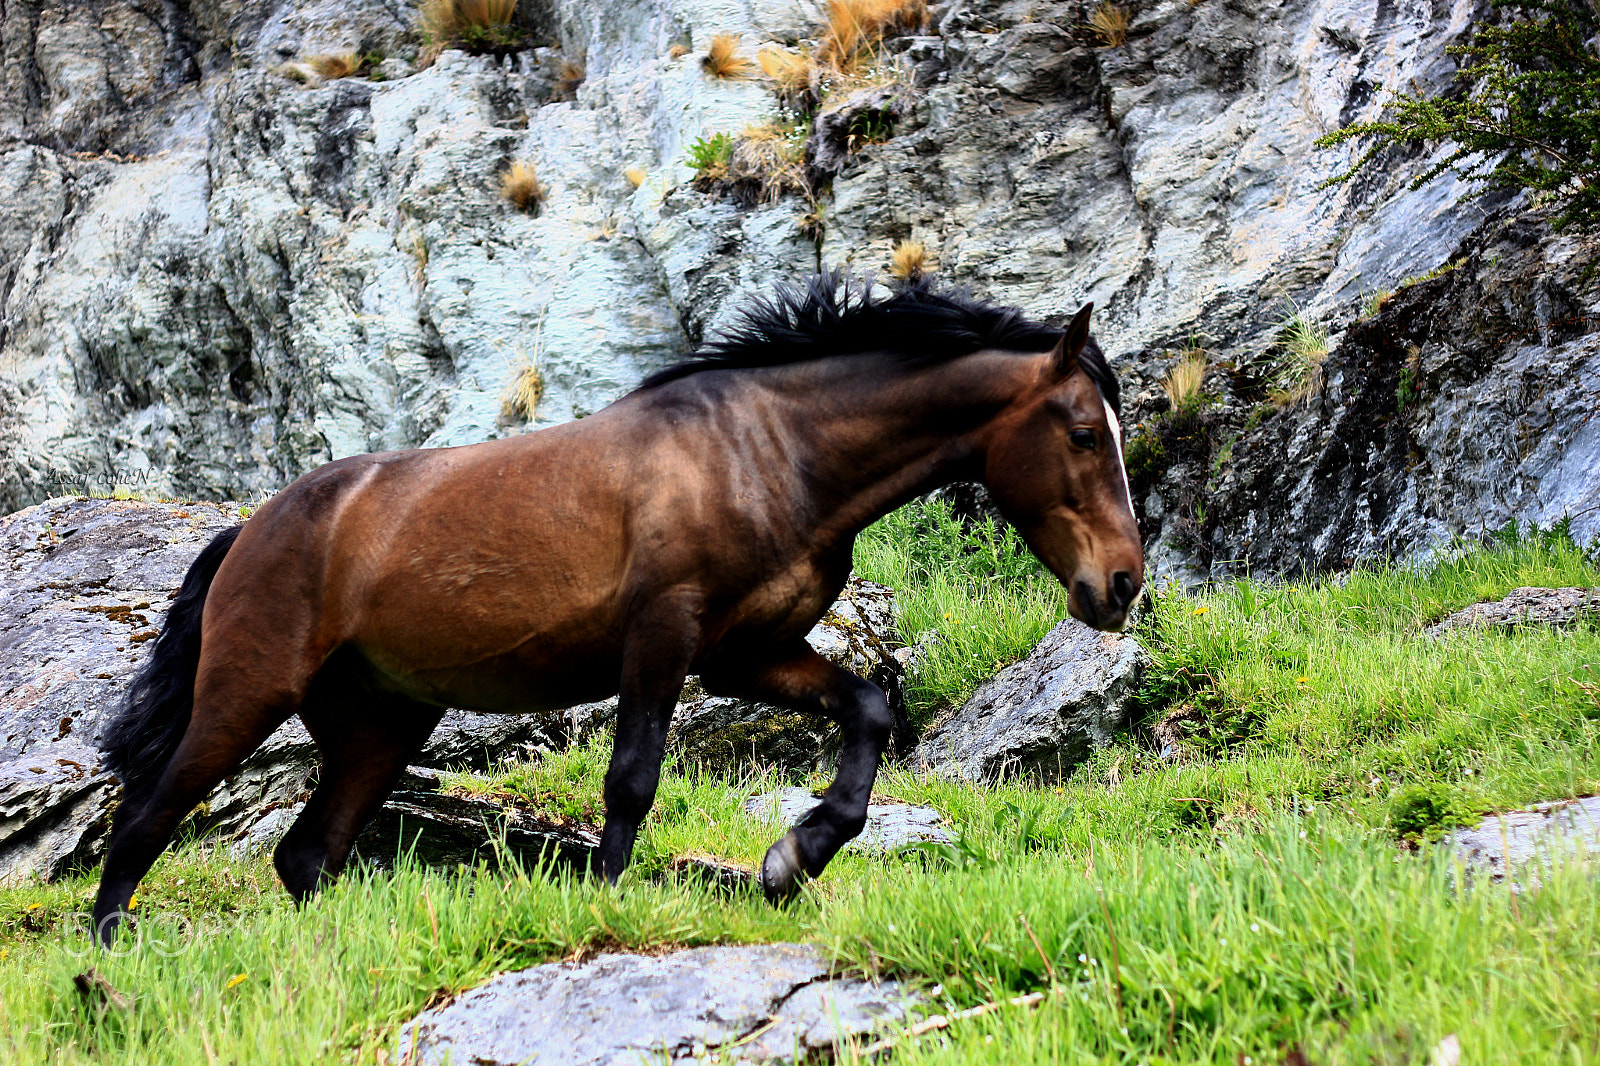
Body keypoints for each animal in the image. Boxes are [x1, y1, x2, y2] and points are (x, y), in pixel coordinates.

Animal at [91, 272, 1144, 945]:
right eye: (1084, 433)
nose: (1124, 584)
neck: (772, 451)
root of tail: (255, 527)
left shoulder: (748, 652)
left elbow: (869, 711)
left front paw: (792, 859)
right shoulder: (663, 636)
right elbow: (632, 779)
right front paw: (605, 903)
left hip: (379, 725)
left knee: (306, 857)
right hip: (246, 694)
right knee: (145, 820)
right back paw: (112, 958)